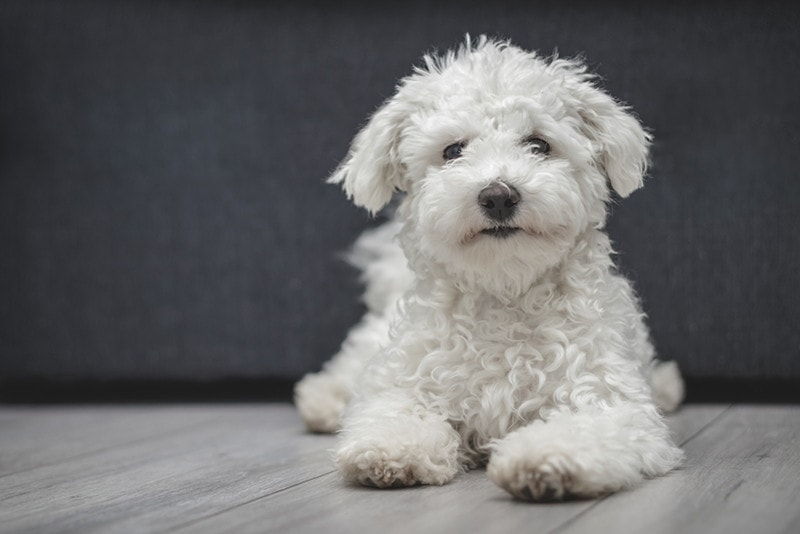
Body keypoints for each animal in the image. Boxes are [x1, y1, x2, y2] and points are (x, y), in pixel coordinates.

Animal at [296, 37, 684, 502]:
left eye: (539, 144)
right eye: (452, 150)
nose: (498, 195)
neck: (504, 293)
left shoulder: (609, 399)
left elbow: (585, 428)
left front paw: (543, 459)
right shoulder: (408, 382)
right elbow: (395, 412)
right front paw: (390, 452)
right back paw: (323, 399)